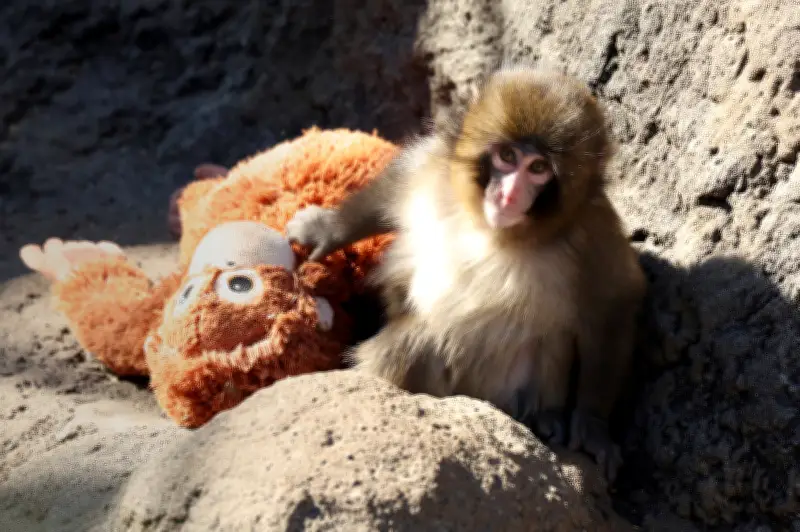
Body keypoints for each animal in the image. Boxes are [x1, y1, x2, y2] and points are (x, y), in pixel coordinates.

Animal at [286, 66, 646, 481]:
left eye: (538, 168)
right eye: (507, 156)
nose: (508, 195)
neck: (494, 231)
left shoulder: (592, 234)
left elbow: (613, 304)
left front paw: (592, 425)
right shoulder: (435, 170)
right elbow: (395, 184)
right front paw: (327, 230)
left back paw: (547, 418)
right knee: (415, 342)